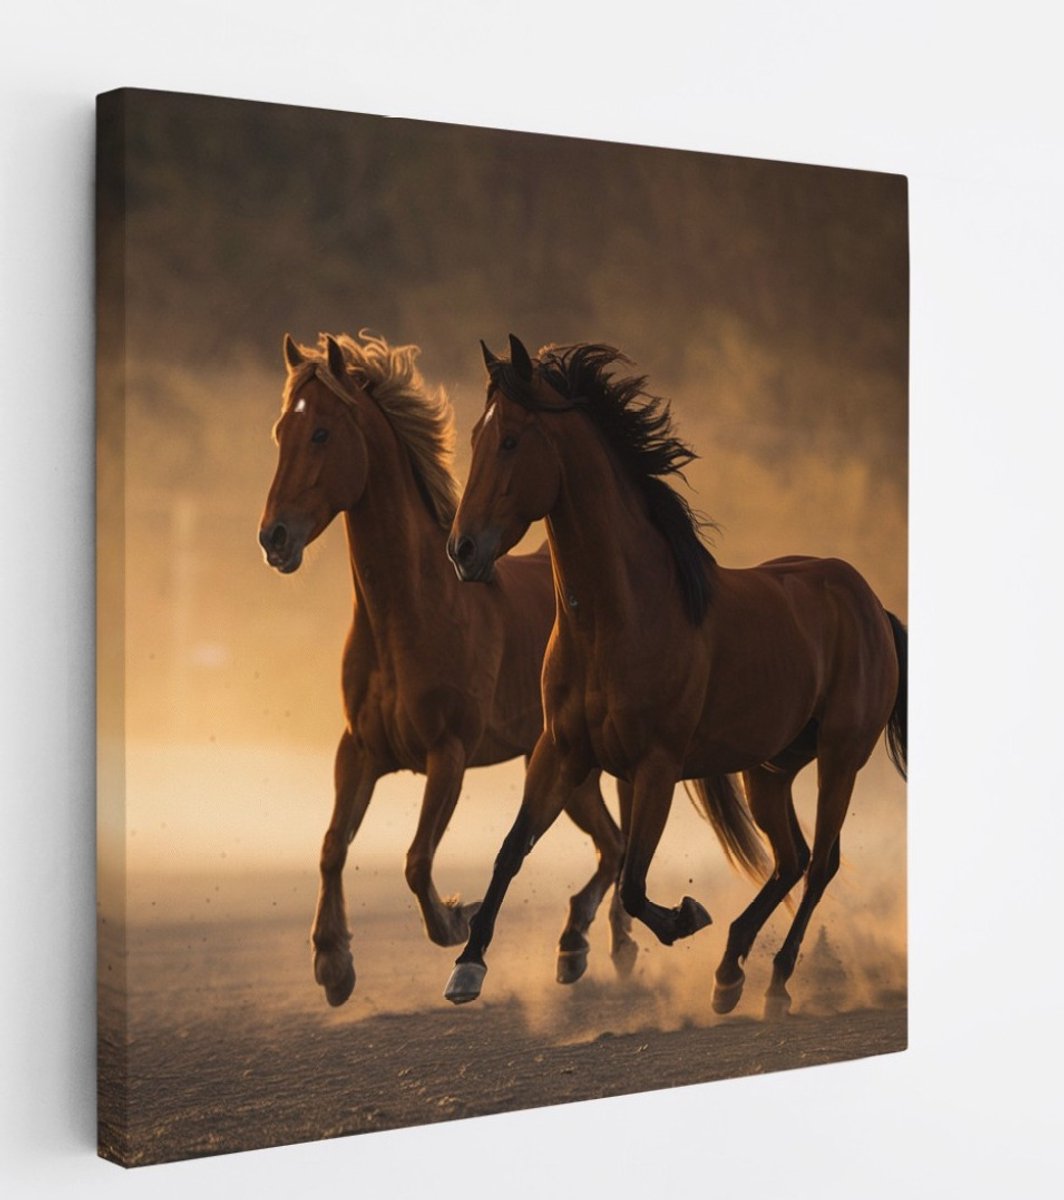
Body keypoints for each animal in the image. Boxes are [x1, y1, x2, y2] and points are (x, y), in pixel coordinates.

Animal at [257, 331, 636, 1006]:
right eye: (281, 432)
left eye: (321, 433)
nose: (274, 538)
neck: (414, 612)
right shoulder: (359, 750)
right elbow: (331, 846)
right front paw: (333, 965)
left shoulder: (448, 754)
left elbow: (415, 861)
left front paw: (459, 921)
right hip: (566, 769)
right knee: (613, 844)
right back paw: (587, 947)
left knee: (618, 846)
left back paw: (601, 947)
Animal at [443, 335, 906, 1018]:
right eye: (476, 435)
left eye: (511, 440)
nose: (463, 550)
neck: (621, 616)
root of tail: (871, 603)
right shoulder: (561, 751)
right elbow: (511, 851)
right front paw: (467, 968)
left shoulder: (656, 765)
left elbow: (635, 885)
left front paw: (685, 917)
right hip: (769, 768)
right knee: (791, 859)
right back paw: (729, 971)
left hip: (841, 758)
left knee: (822, 863)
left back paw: (774, 982)